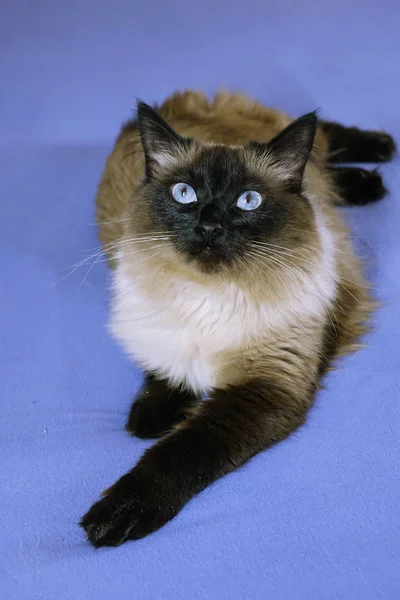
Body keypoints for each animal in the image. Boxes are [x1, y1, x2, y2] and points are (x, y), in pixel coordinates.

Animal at [79, 91, 396, 548]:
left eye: (248, 201)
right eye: (184, 194)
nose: (209, 226)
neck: (209, 296)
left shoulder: (265, 385)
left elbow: (181, 451)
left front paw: (118, 513)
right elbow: (165, 375)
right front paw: (151, 419)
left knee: (326, 137)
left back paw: (381, 154)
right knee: (325, 159)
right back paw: (369, 176)